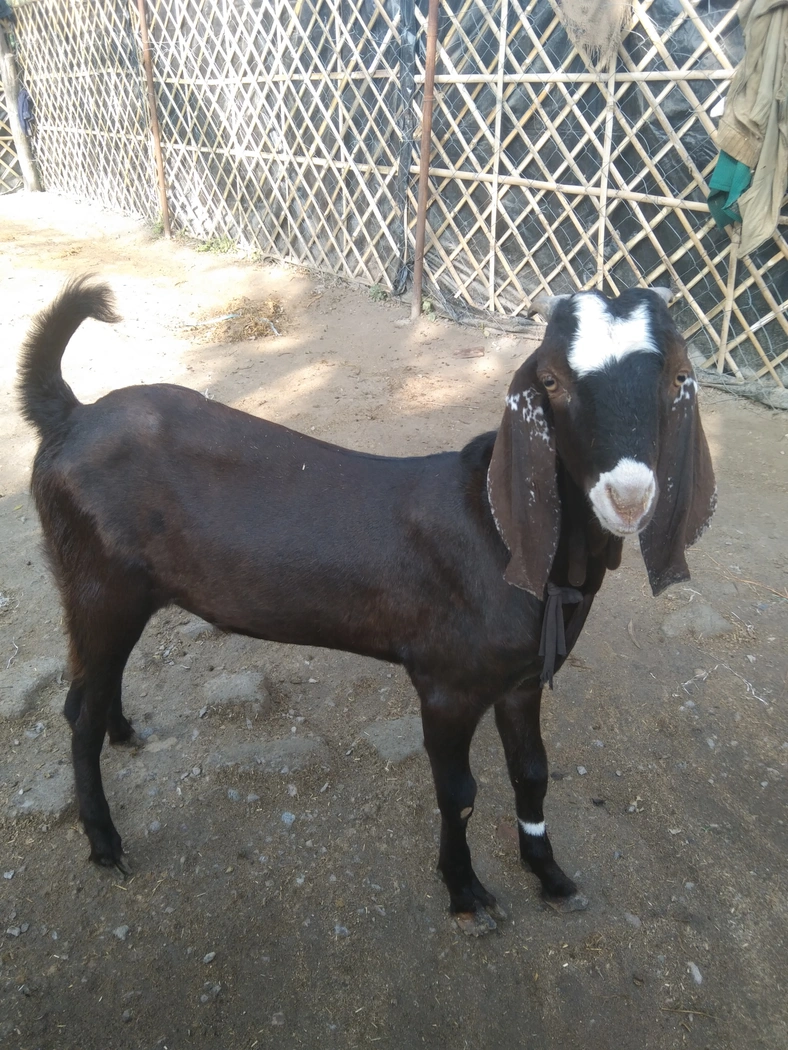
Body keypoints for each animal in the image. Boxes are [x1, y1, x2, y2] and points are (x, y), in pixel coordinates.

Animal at [17, 277, 715, 933]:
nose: (628, 497)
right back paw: (105, 841)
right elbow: (459, 793)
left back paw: (125, 732)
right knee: (77, 710)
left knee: (97, 684)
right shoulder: (446, 683)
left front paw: (550, 875)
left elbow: (533, 772)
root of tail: (70, 416)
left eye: (678, 376)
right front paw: (466, 895)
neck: (496, 532)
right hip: (98, 585)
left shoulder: (520, 680)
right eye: (551, 380)